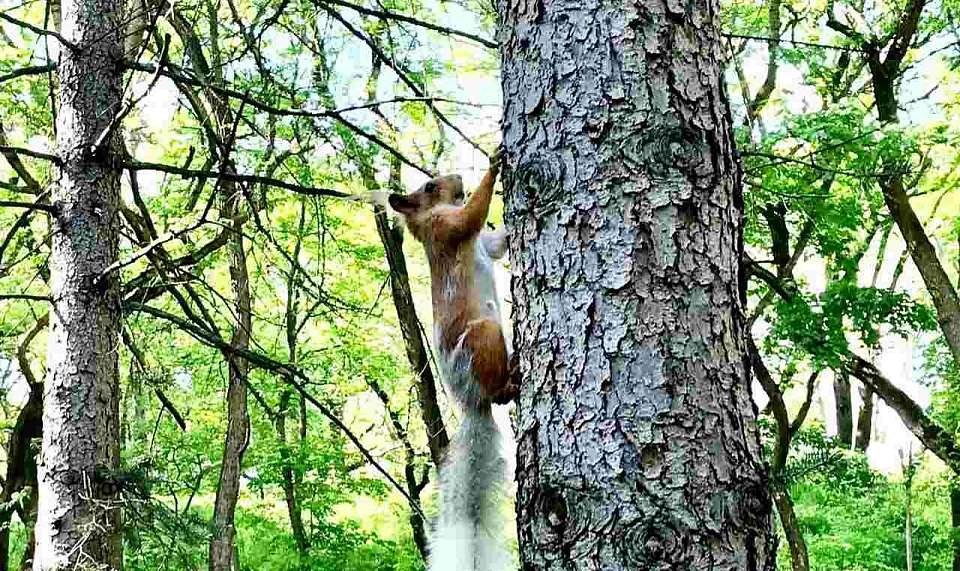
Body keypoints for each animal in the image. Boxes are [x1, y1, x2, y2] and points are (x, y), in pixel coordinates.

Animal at [388, 156, 516, 571]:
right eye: (429, 187)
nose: (458, 177)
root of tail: (471, 404)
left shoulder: (484, 243)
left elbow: (496, 244)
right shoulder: (446, 228)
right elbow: (471, 218)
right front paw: (495, 164)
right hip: (483, 336)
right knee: (496, 390)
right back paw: (509, 385)